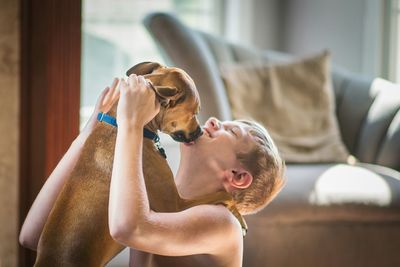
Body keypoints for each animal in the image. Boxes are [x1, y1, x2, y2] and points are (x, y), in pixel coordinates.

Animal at [34, 62, 247, 266]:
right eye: (194, 112)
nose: (201, 132)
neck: (124, 126)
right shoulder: (174, 206)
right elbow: (223, 193)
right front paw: (240, 218)